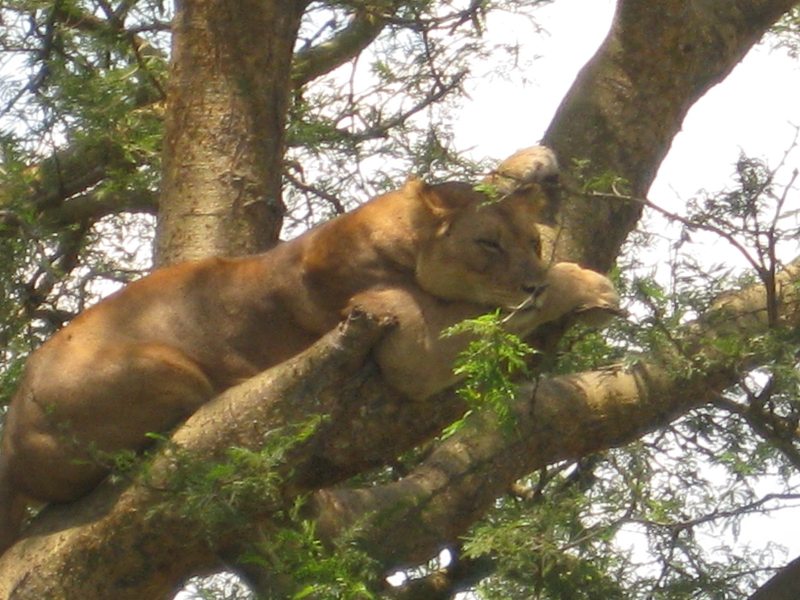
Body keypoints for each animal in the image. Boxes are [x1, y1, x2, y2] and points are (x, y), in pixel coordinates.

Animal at [0, 146, 619, 553]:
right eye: (487, 245)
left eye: (531, 241)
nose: (529, 281)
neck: (389, 232)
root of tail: (10, 443)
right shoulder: (410, 347)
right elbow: (499, 316)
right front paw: (584, 284)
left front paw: (536, 163)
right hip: (166, 369)